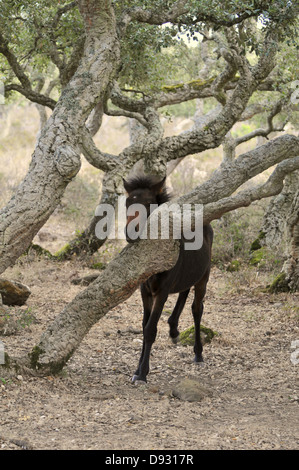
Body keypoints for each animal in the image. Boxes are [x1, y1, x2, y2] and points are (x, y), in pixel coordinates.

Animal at [123, 174, 213, 384]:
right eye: (127, 203)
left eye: (148, 204)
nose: (131, 232)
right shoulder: (145, 291)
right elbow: (144, 326)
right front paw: (137, 369)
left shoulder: (162, 292)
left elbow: (150, 329)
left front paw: (142, 373)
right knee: (184, 291)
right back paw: (173, 330)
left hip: (203, 277)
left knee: (197, 309)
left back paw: (198, 353)